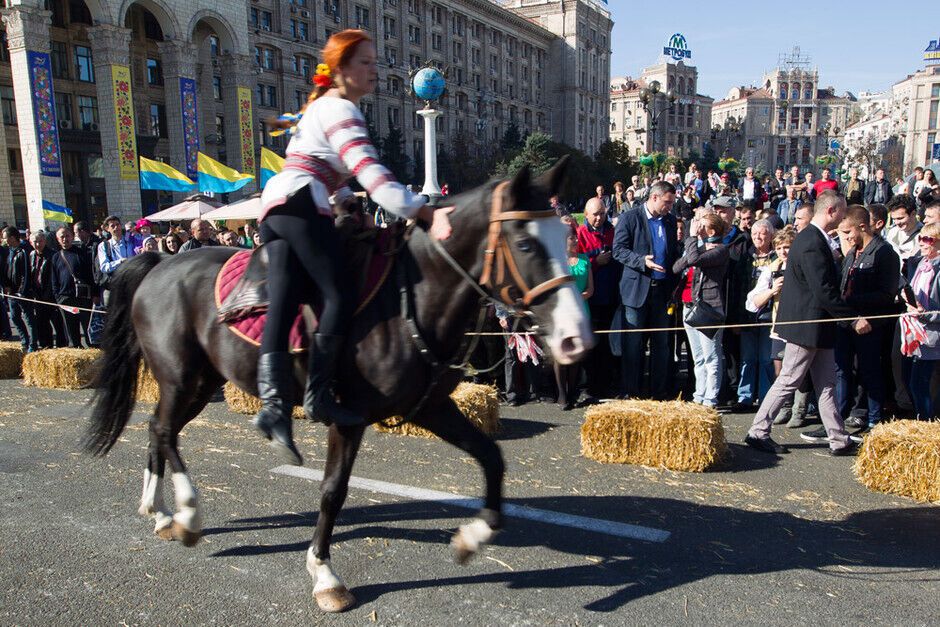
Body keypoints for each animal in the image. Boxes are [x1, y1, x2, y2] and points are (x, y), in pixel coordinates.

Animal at [84, 158, 594, 613]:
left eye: (565, 235)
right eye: (525, 244)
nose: (577, 338)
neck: (409, 297)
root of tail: (157, 262)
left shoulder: (432, 406)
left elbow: (491, 456)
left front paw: (473, 536)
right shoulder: (346, 417)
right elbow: (333, 490)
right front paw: (325, 576)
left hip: (201, 380)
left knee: (159, 429)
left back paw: (159, 512)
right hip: (180, 377)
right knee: (164, 430)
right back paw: (187, 514)